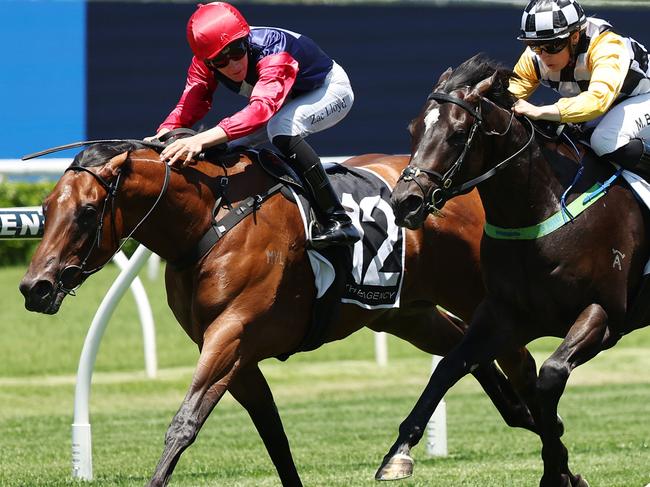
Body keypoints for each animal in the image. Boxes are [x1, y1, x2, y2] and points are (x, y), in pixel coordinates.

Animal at [19, 139, 536, 486]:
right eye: (44, 207)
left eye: (88, 211)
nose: (33, 287)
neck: (209, 222)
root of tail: (458, 189)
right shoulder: (237, 352)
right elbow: (273, 432)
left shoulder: (231, 334)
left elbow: (184, 424)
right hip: (402, 311)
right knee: (461, 346)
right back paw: (511, 415)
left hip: (475, 288)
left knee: (512, 351)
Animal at [384, 53, 648, 487]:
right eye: (413, 128)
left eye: (458, 134)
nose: (405, 202)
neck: (542, 211)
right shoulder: (502, 314)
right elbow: (450, 367)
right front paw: (398, 453)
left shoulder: (605, 314)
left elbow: (550, 377)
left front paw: (557, 471)